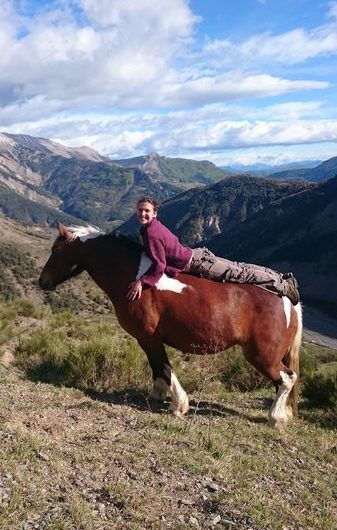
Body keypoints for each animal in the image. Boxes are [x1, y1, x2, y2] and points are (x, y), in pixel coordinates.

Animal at [38, 222, 302, 424]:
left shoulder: (150, 337)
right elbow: (156, 369)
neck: (134, 277)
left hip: (261, 356)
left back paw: (276, 418)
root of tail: (289, 301)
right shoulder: (145, 340)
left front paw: (178, 405)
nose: (43, 282)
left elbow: (164, 368)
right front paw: (156, 396)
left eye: (56, 250)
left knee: (287, 379)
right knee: (282, 382)